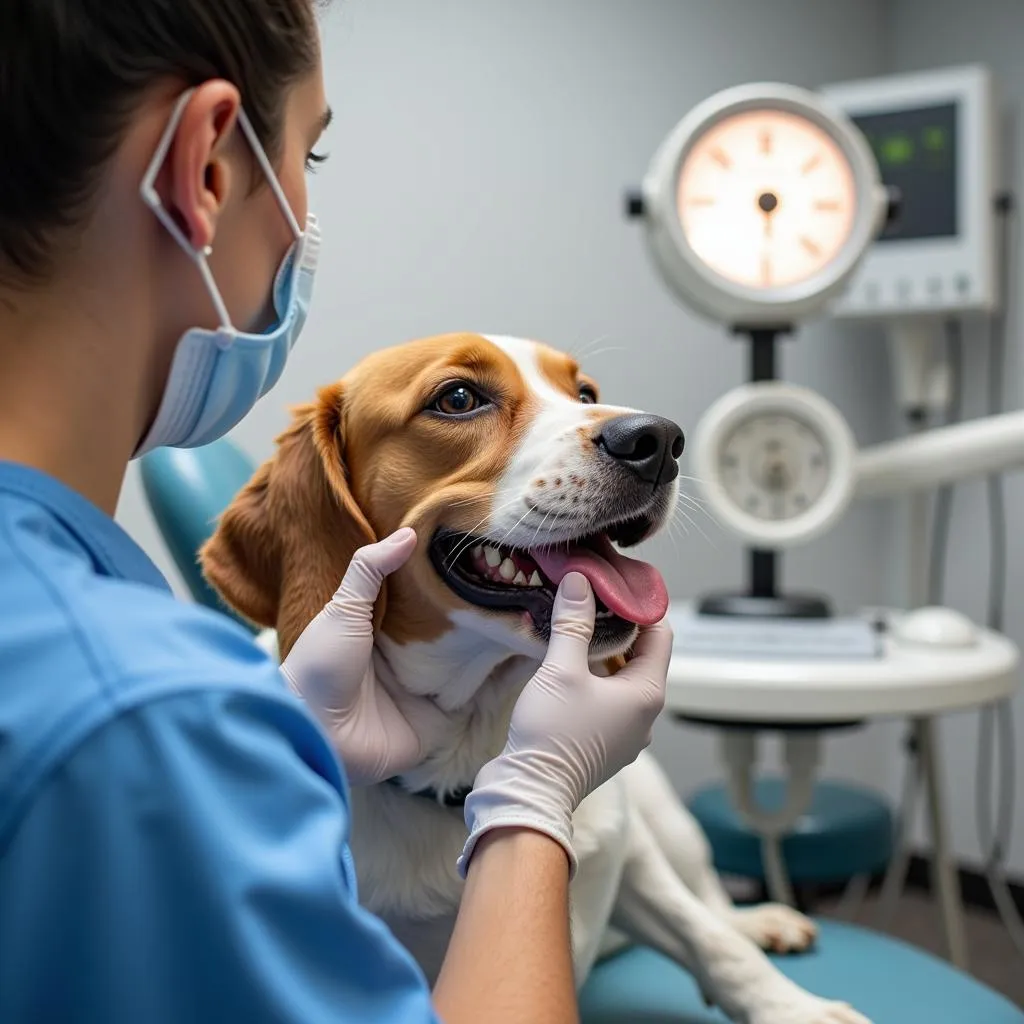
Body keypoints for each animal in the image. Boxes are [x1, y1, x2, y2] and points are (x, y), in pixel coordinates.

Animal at [201, 335, 872, 1024]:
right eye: (458, 398)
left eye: (586, 394)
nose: (659, 439)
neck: (471, 754)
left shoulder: (634, 855)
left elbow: (706, 937)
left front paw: (792, 1008)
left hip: (668, 823)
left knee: (708, 898)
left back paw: (758, 921)